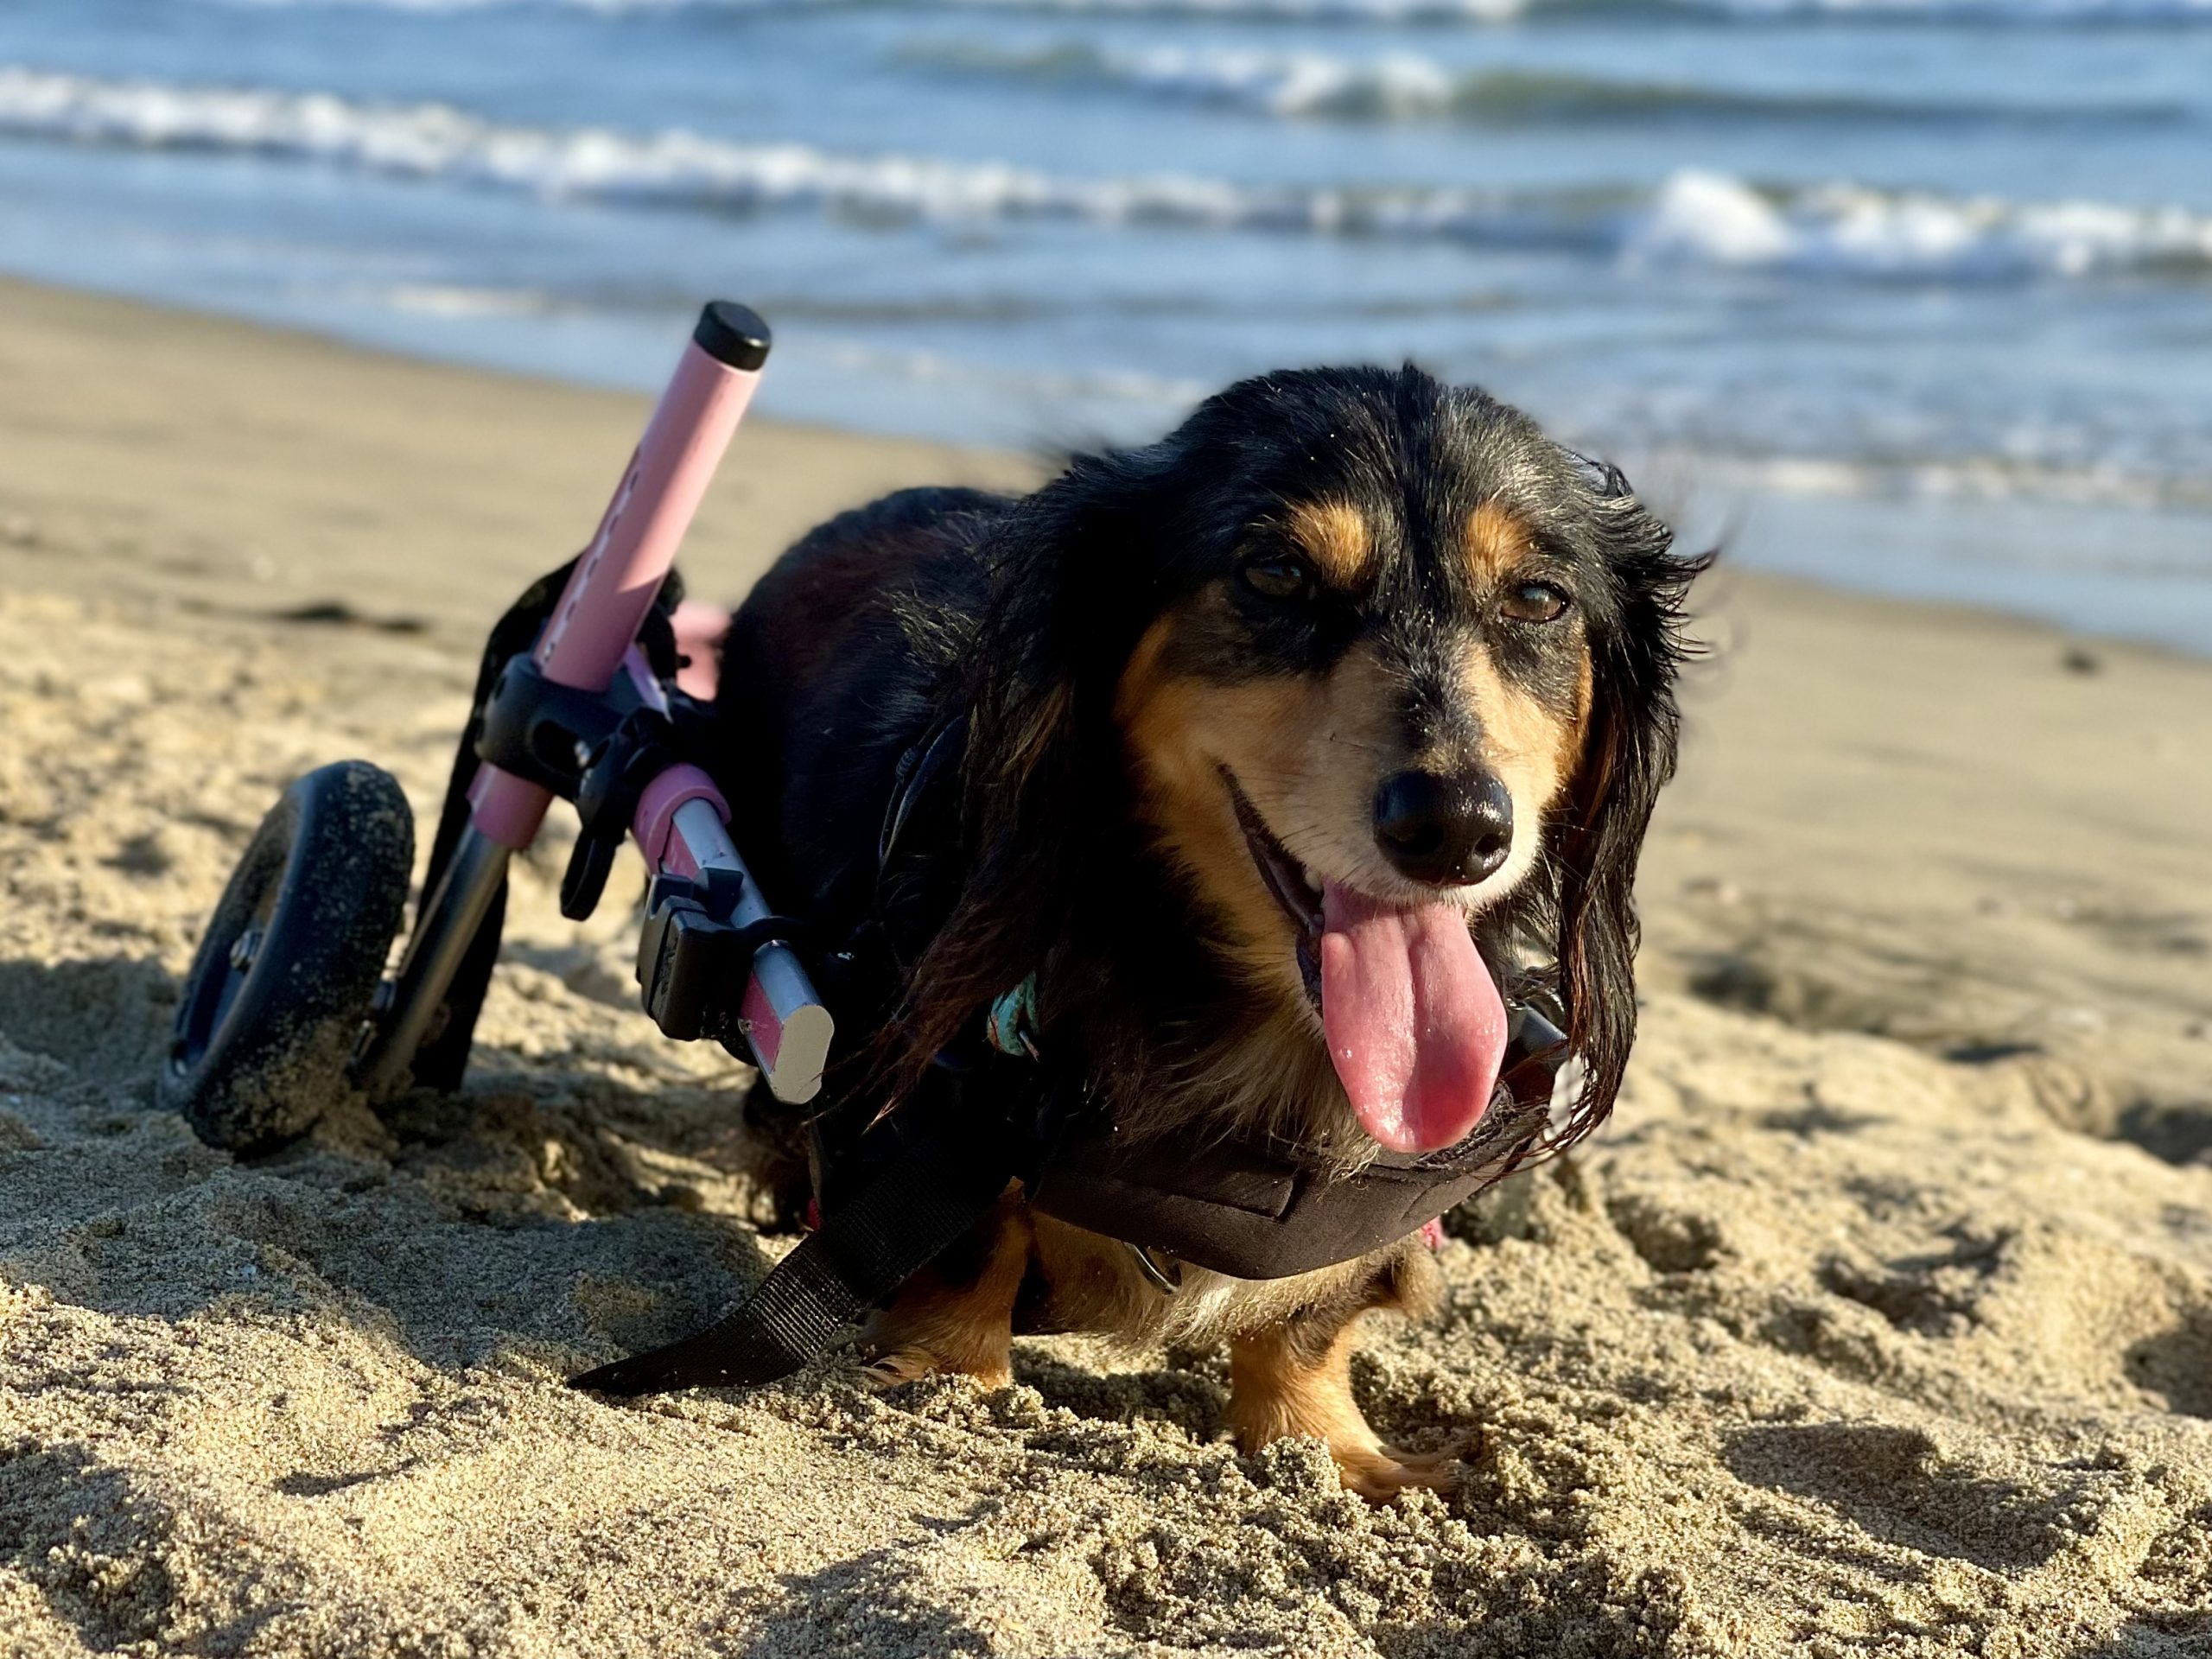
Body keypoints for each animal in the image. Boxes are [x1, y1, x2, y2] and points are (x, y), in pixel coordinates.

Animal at [716, 366, 1699, 1503]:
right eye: (1275, 573)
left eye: (1539, 599)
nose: (1456, 827)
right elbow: (968, 1242)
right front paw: (954, 1378)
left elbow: (1308, 1324)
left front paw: (1326, 1448)